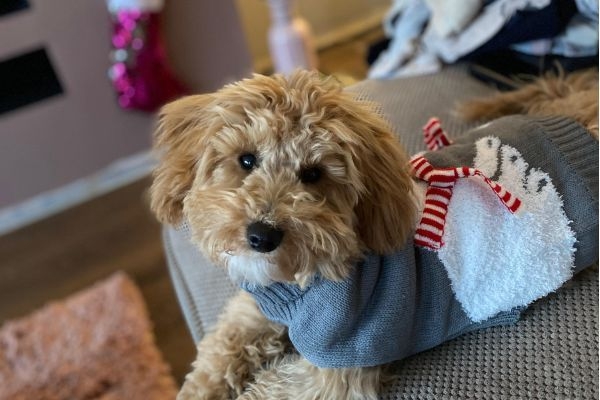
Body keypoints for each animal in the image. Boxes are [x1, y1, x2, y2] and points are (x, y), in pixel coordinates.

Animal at [150, 67, 596, 398]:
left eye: (313, 174)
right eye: (246, 160)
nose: (261, 236)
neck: (302, 283)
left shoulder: (338, 370)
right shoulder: (255, 309)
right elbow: (221, 349)